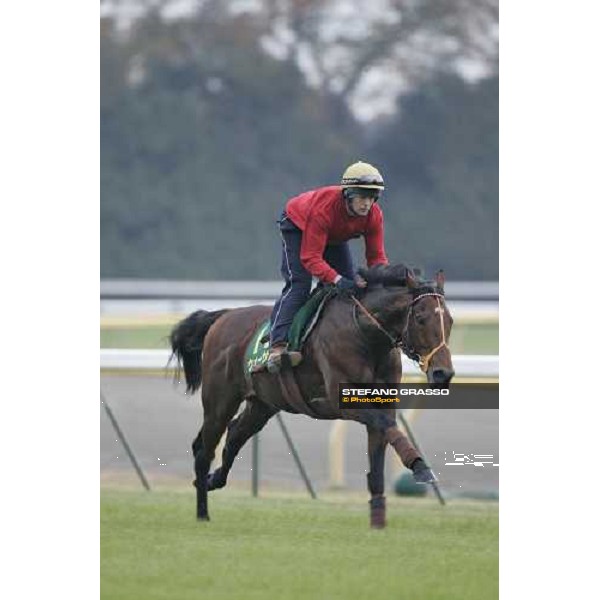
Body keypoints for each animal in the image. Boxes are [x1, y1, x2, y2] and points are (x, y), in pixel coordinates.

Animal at [170, 264, 454, 528]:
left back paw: (212, 480)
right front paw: (421, 467)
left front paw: (378, 521)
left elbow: (379, 458)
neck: (365, 333)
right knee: (204, 449)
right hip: (220, 399)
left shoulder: (383, 403)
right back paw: (202, 512)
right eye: (420, 318)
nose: (443, 373)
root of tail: (224, 315)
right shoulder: (345, 402)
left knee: (234, 435)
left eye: (449, 320)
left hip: (263, 404)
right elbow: (387, 427)